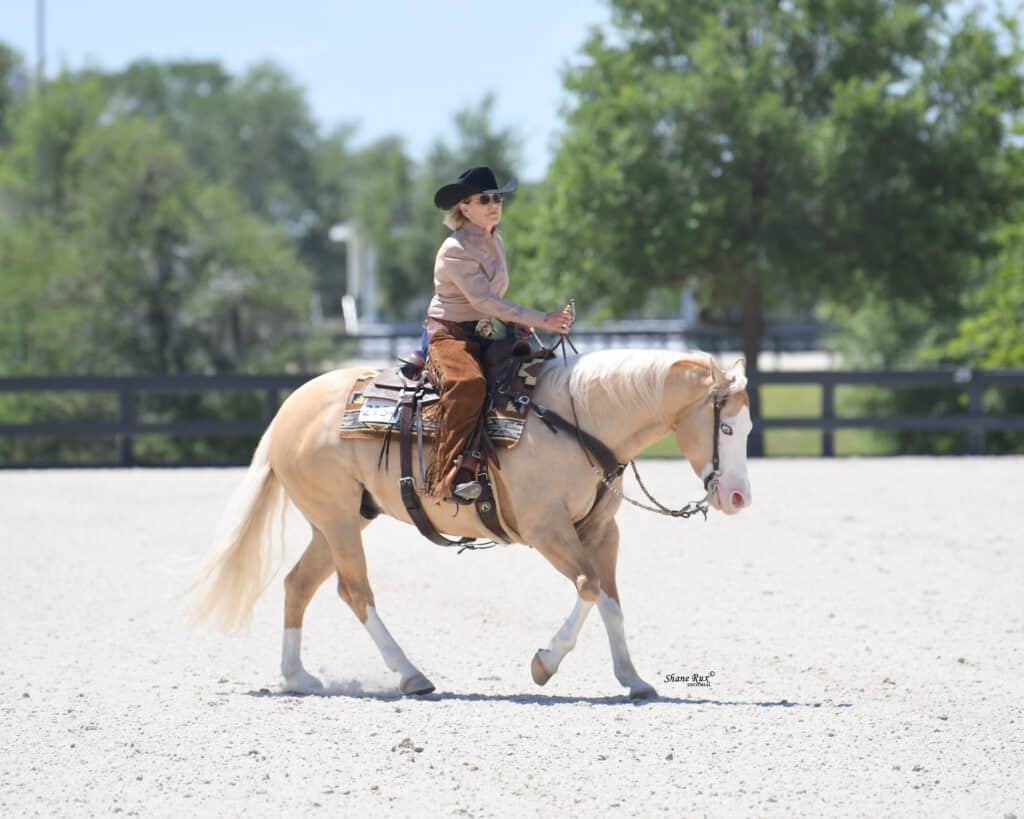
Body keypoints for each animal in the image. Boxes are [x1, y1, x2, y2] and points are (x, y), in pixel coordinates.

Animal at [192, 348, 753, 699]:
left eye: (747, 427)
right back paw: (411, 675)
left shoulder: (600, 532)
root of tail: (289, 408)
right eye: (725, 427)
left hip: (338, 523)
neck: (579, 421)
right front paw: (544, 664)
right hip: (338, 522)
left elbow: (611, 602)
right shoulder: (546, 530)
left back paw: (297, 677)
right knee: (355, 592)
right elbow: (589, 587)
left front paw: (633, 680)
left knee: (298, 584)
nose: (739, 497)